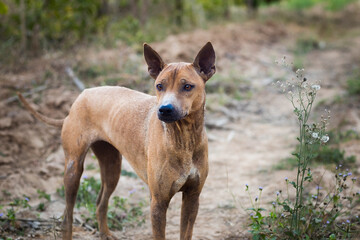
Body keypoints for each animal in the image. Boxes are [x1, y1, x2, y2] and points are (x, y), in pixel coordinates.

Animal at [18, 42, 215, 239]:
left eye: (187, 86)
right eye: (159, 86)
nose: (164, 109)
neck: (183, 139)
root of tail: (81, 96)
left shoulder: (192, 198)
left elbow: (186, 233)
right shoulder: (158, 202)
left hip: (112, 167)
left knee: (100, 203)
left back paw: (105, 233)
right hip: (73, 170)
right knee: (68, 215)